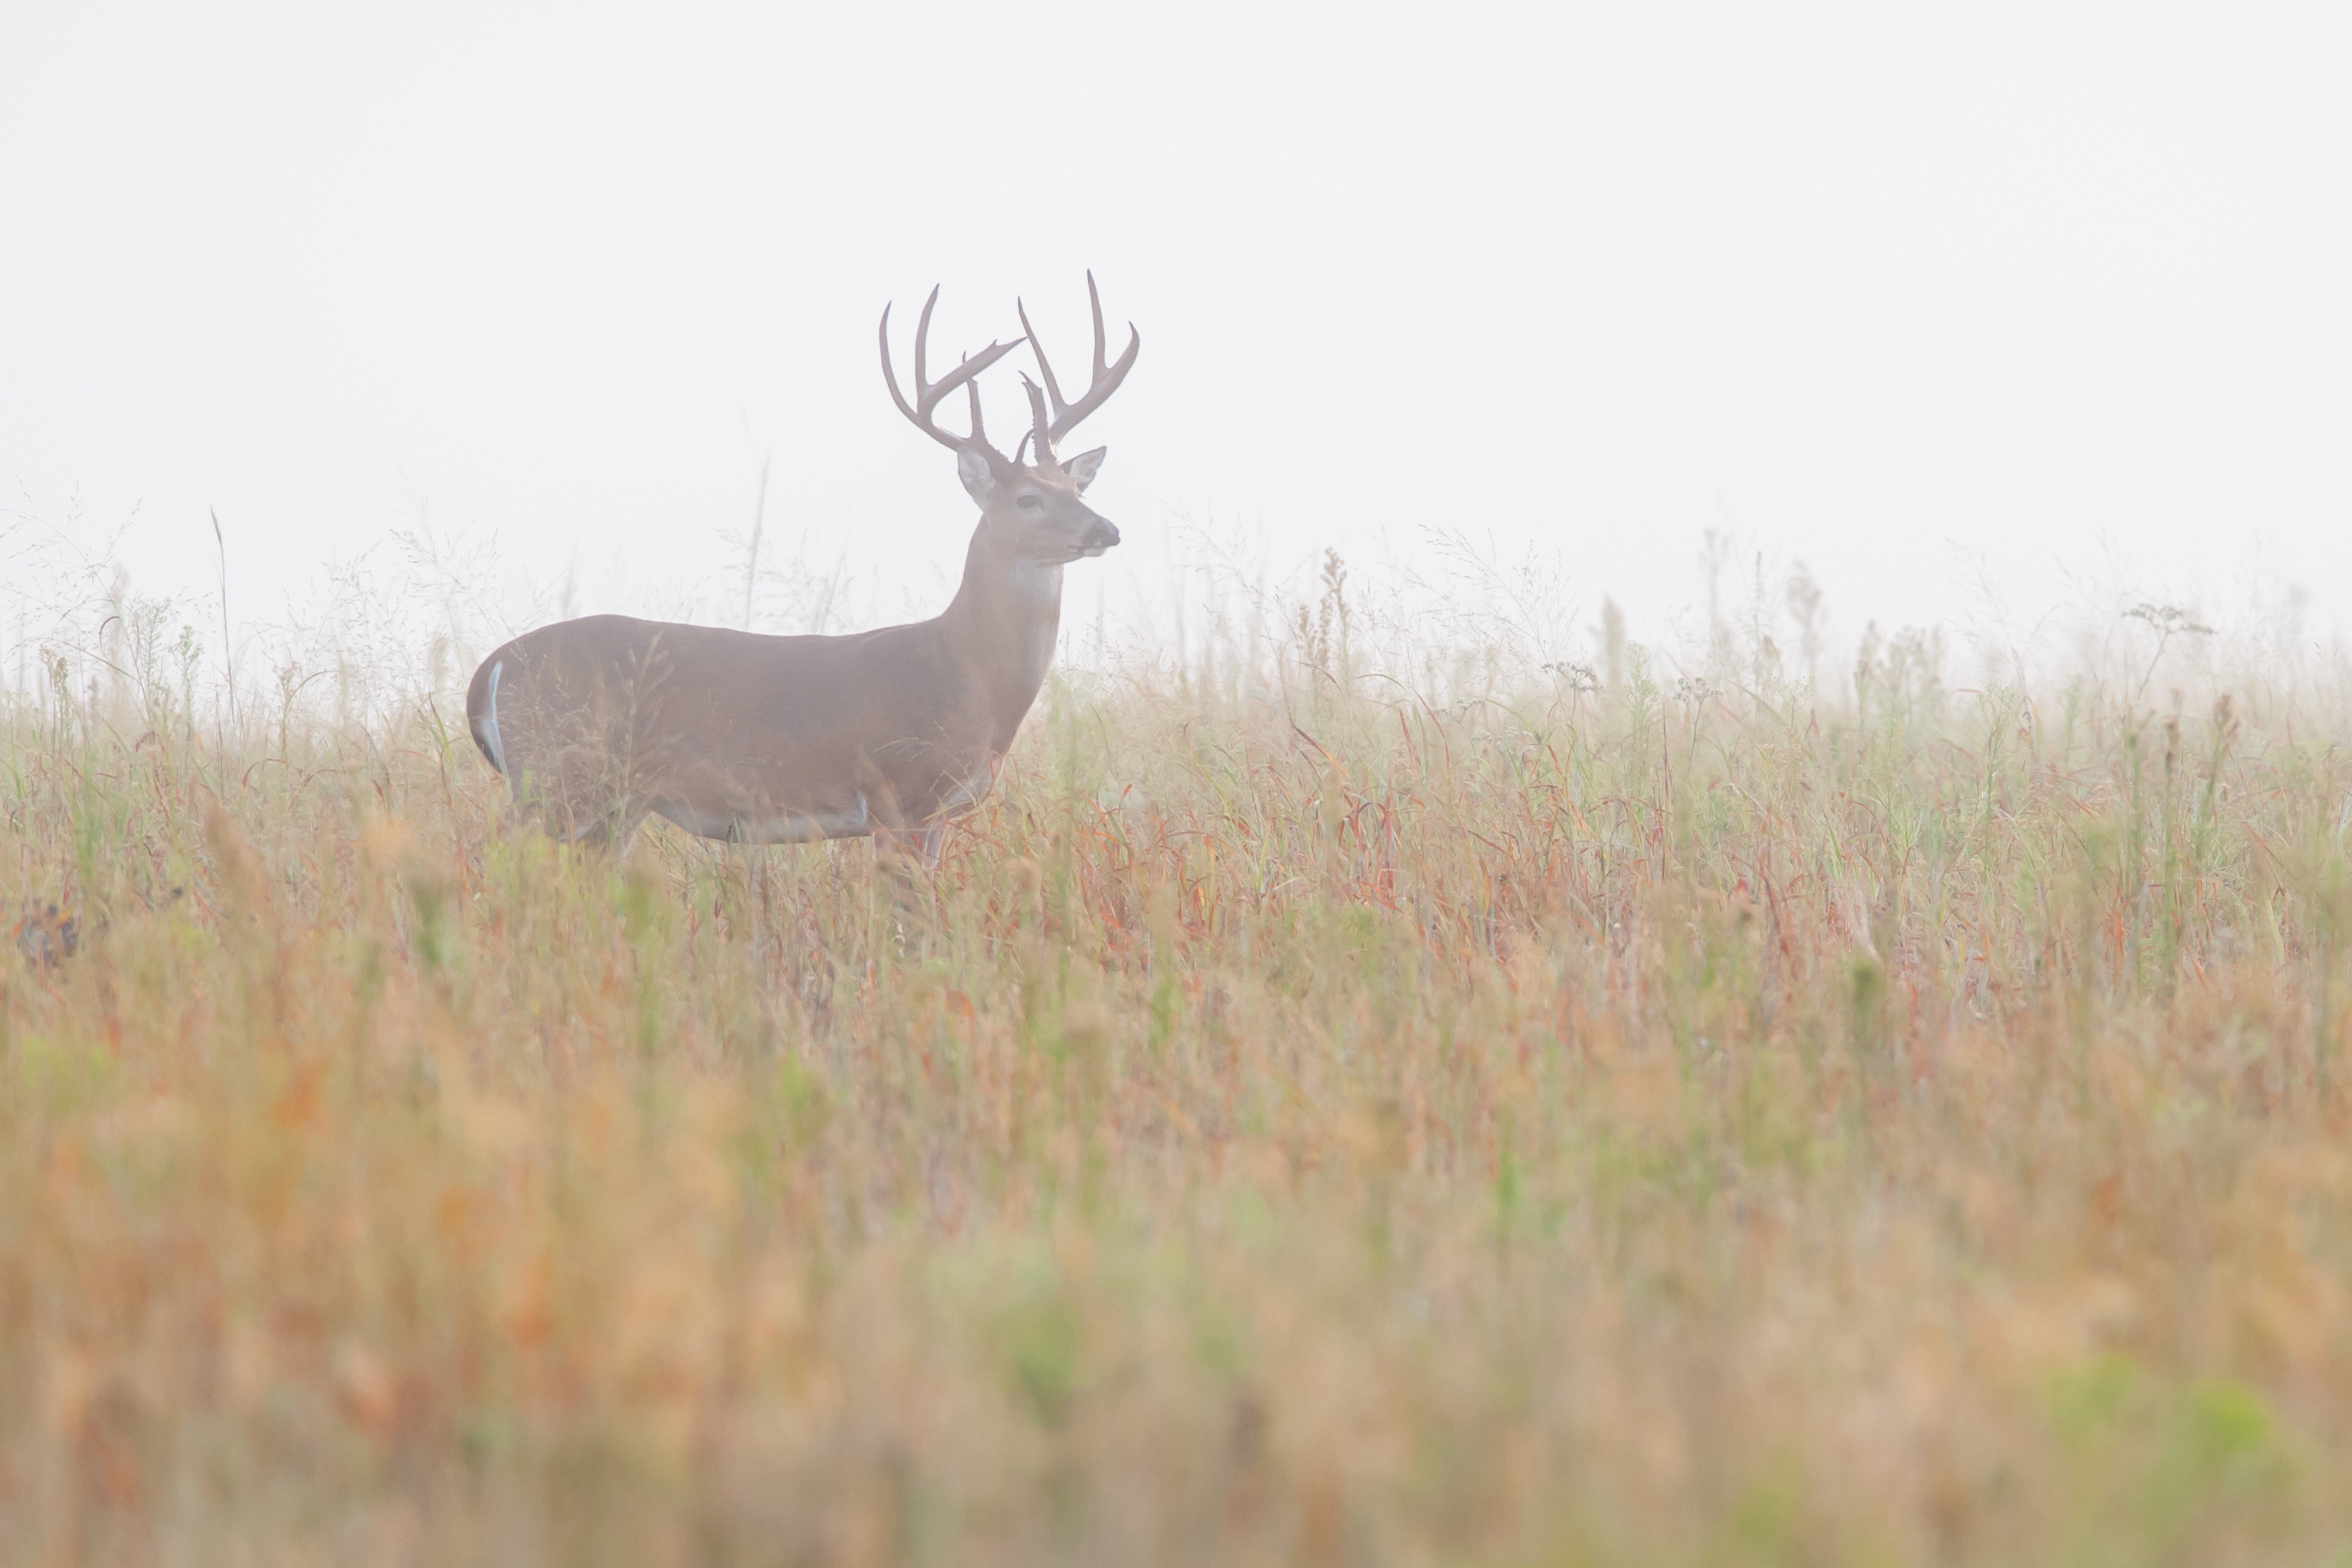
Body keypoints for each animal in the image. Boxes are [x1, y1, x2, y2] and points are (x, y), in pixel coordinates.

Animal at [460, 276, 1138, 865]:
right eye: (1028, 499)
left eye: (1074, 488)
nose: (1105, 530)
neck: (966, 672)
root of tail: (489, 668)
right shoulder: (898, 795)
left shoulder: (936, 817)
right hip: (554, 777)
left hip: (617, 804)